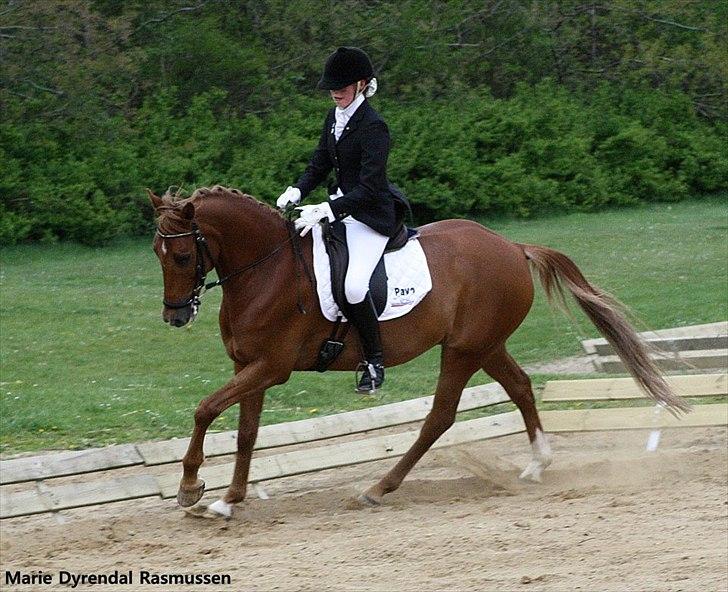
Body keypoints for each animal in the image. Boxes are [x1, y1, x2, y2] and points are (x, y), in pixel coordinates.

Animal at [149, 186, 688, 520]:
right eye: (157, 254)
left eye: (182, 255)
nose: (175, 317)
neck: (267, 270)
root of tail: (512, 246)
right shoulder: (249, 366)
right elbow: (245, 432)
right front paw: (228, 500)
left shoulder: (271, 367)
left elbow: (205, 410)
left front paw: (190, 488)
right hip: (486, 345)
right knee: (520, 387)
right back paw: (537, 464)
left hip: (464, 350)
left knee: (440, 416)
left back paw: (379, 488)